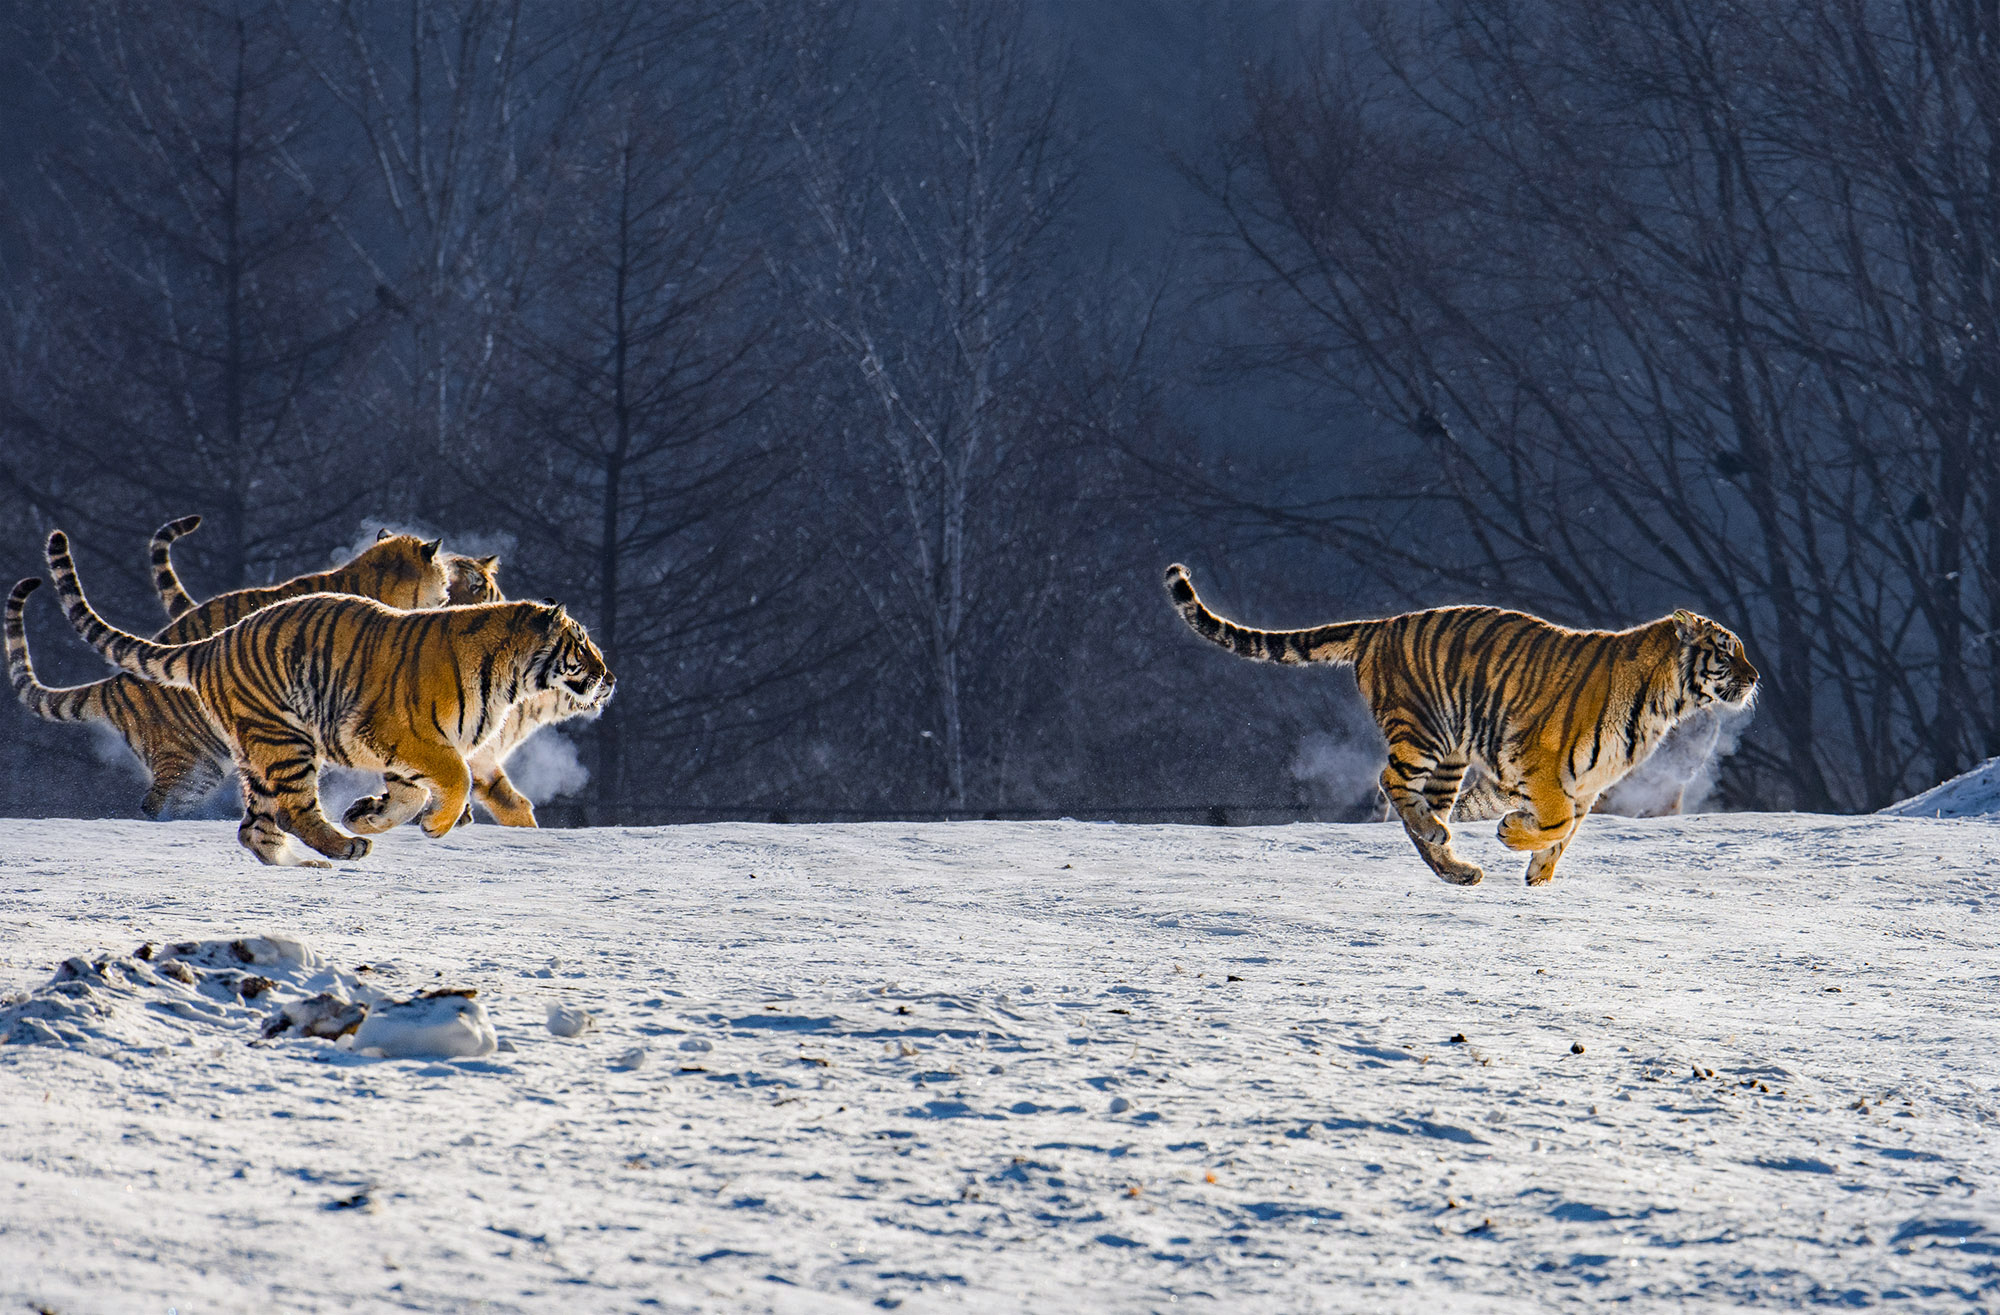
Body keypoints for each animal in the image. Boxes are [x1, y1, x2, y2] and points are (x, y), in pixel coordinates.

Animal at [1168, 559, 1760, 887]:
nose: (1755, 677)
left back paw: (1454, 866)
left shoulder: (1572, 783)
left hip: (1450, 757)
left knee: (1415, 804)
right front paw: (1515, 838)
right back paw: (1441, 837)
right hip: (1425, 731)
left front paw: (1538, 872)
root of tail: (1382, 624)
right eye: (1725, 652)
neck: (1666, 705)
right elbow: (1557, 823)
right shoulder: (1540, 764)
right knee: (1389, 782)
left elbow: (1565, 830)